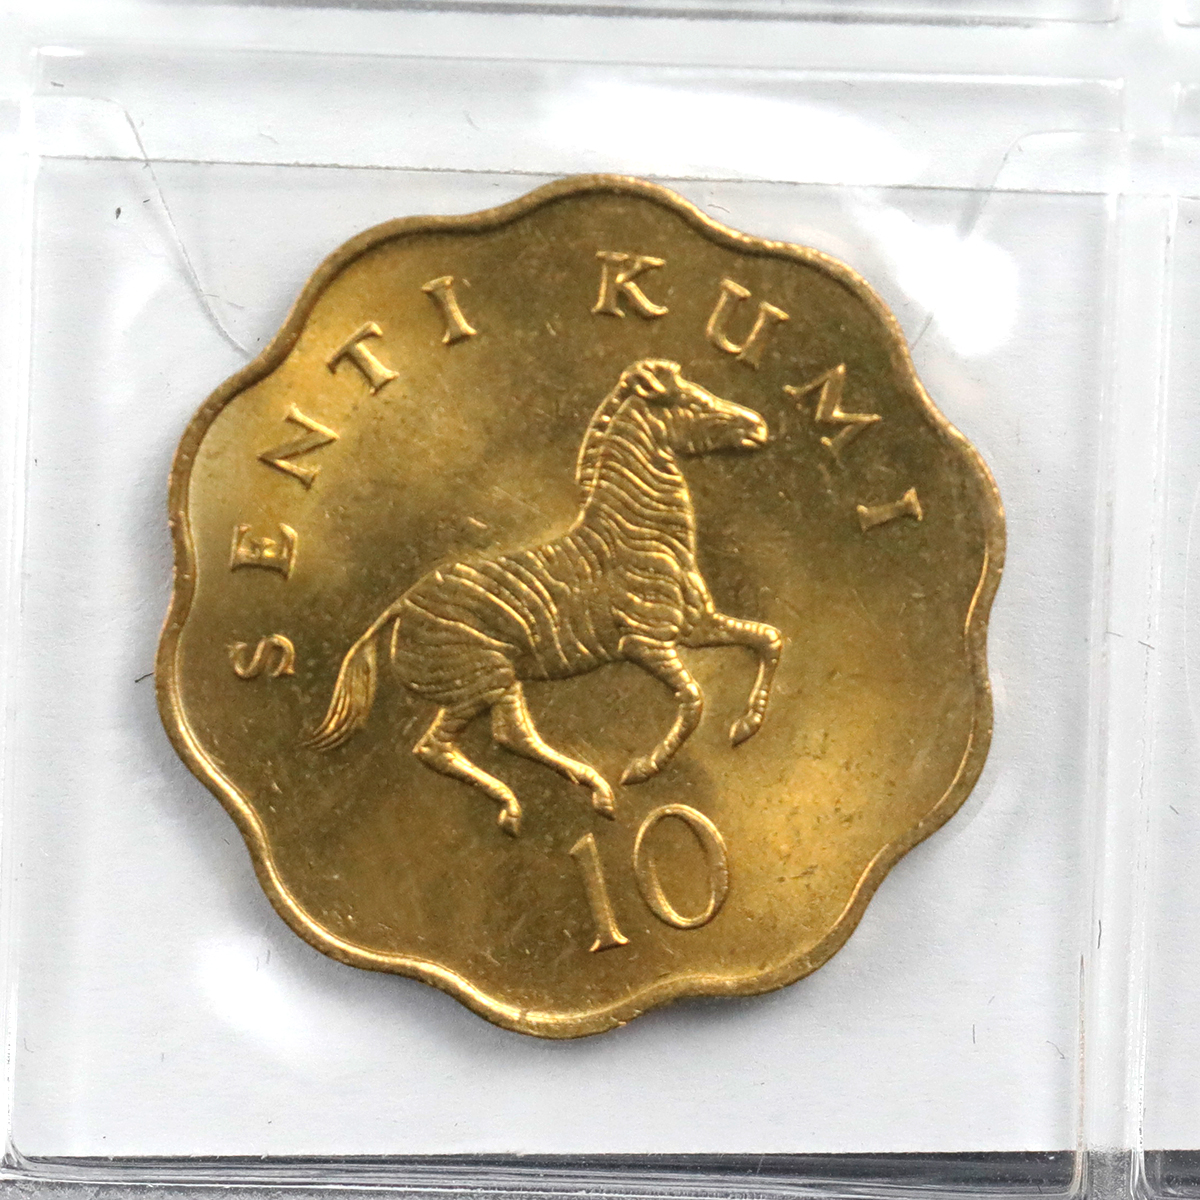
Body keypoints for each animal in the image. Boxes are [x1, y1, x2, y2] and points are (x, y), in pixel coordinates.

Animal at [306, 358, 783, 836]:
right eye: (693, 402)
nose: (758, 425)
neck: (642, 533)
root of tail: (400, 606)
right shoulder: (645, 641)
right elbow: (694, 699)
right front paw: (644, 768)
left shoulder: (695, 625)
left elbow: (767, 639)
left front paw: (747, 725)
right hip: (483, 681)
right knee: (471, 741)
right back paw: (569, 795)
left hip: (485, 683)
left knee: (483, 739)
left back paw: (566, 797)